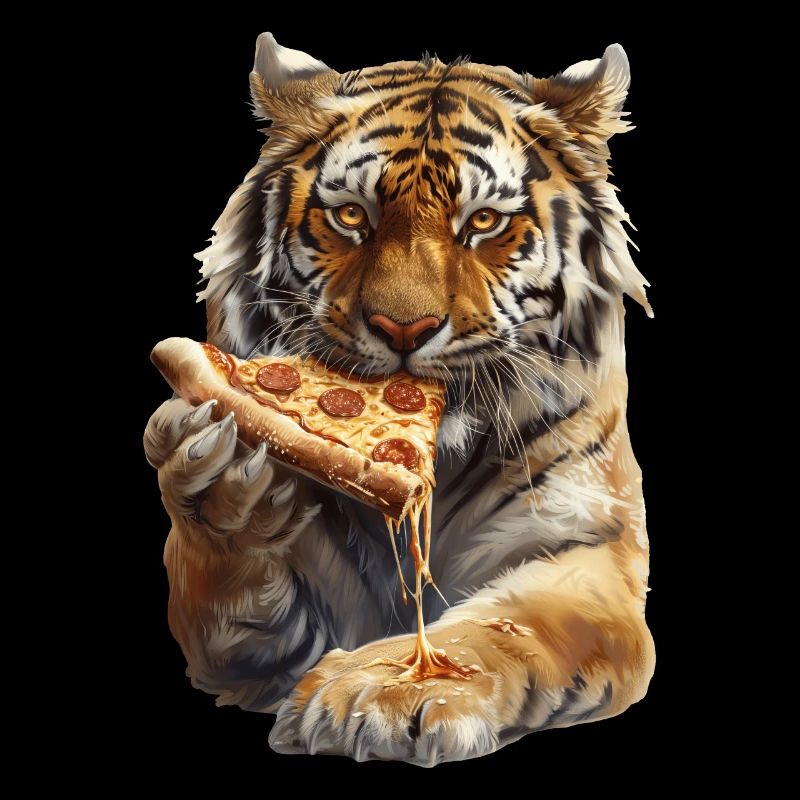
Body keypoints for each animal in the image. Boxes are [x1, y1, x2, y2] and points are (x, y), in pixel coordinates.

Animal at [144, 32, 655, 766]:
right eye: (352, 216)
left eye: (484, 221)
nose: (404, 330)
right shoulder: (246, 645)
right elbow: (221, 591)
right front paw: (220, 486)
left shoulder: (586, 551)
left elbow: (502, 623)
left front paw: (385, 691)